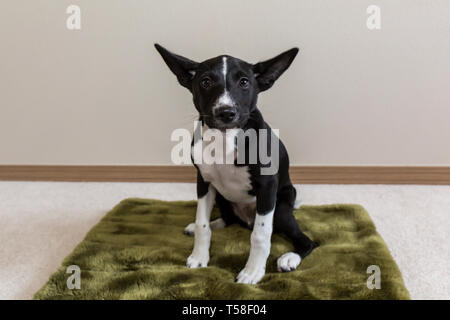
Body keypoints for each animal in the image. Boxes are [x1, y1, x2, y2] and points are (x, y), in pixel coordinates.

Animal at [156, 43, 318, 284]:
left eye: (244, 82)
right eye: (205, 81)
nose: (226, 112)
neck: (225, 139)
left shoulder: (267, 186)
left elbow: (261, 235)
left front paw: (252, 272)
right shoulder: (203, 181)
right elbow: (202, 223)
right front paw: (199, 255)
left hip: (281, 209)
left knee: (306, 240)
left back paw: (290, 258)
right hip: (222, 197)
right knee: (228, 219)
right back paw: (205, 225)